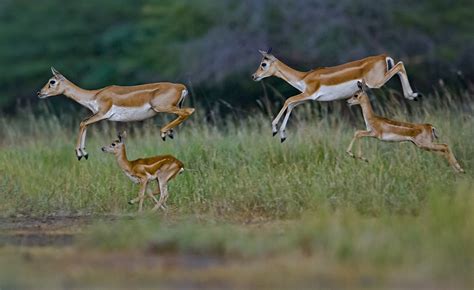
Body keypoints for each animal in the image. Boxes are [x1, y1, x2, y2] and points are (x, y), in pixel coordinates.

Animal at [37, 67, 194, 160]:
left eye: (52, 81)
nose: (39, 93)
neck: (95, 95)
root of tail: (181, 87)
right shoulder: (97, 115)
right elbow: (85, 124)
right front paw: (84, 153)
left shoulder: (102, 114)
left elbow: (83, 122)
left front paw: (81, 153)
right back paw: (169, 132)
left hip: (162, 107)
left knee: (189, 111)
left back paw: (163, 133)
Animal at [252, 49, 422, 142]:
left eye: (263, 64)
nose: (254, 76)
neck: (304, 77)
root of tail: (382, 57)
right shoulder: (305, 97)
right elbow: (291, 106)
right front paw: (282, 136)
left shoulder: (309, 94)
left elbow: (288, 100)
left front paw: (274, 130)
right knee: (400, 65)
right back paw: (413, 95)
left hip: (376, 83)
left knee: (400, 65)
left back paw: (413, 95)